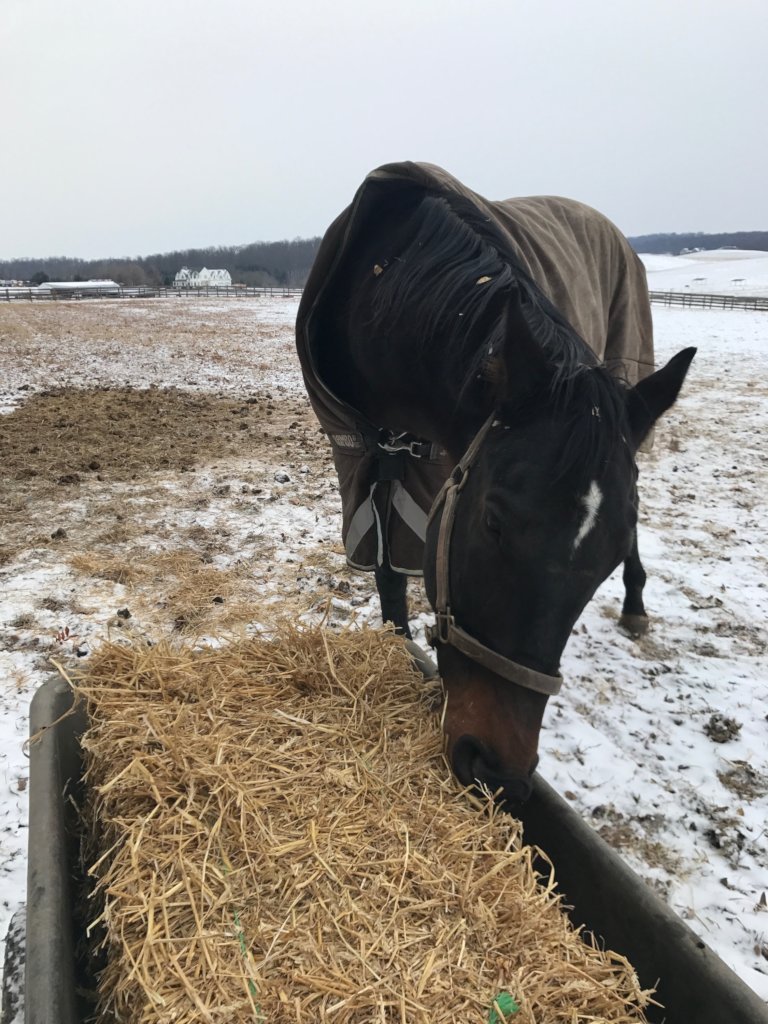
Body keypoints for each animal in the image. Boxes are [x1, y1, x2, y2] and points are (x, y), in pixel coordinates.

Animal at [296, 162, 695, 805]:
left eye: (606, 558)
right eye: (493, 523)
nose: (499, 772)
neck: (385, 286)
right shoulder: (372, 464)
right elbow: (388, 579)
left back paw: (636, 605)